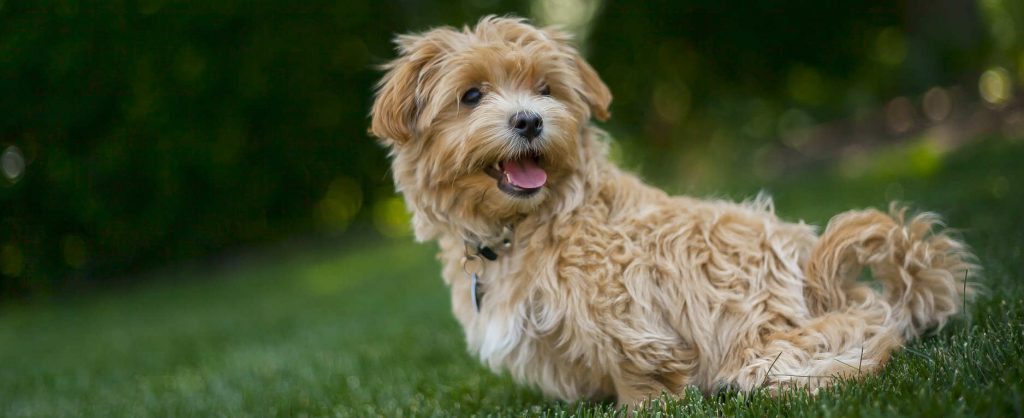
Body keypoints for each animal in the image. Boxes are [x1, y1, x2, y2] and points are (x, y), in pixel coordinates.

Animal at [368, 16, 974, 405]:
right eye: (471, 95)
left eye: (545, 89)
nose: (530, 120)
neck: (532, 222)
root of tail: (822, 278)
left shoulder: (625, 314)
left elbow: (640, 369)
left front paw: (642, 405)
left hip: (769, 346)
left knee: (868, 341)